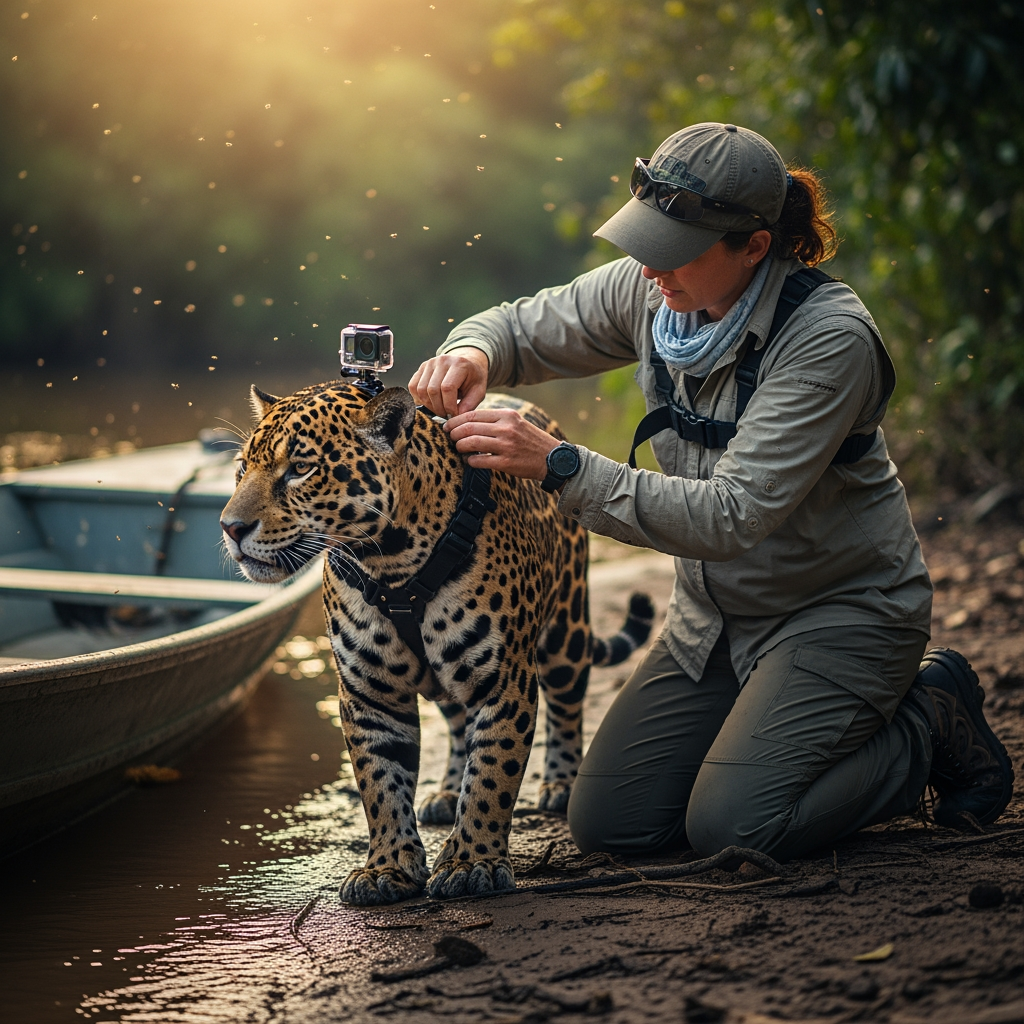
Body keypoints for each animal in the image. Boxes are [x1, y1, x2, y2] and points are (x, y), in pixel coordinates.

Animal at [220, 380, 653, 905]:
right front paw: (386, 867)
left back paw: (560, 784)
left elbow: (492, 771)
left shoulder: (503, 681)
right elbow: (380, 783)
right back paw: (446, 793)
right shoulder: (369, 693)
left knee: (567, 705)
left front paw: (472, 862)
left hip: (566, 632)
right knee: (457, 724)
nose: (230, 527)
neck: (388, 562)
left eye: (301, 469)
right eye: (242, 467)